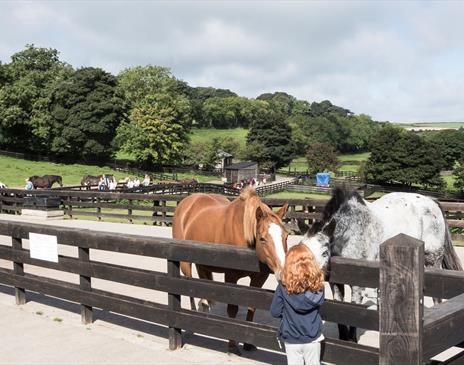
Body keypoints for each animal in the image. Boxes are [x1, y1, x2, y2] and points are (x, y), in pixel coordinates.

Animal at [172, 186, 288, 354]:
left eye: (286, 236)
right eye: (263, 238)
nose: (283, 272)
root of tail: (188, 201)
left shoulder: (259, 279)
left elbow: (252, 308)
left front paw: (248, 343)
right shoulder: (231, 277)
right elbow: (232, 309)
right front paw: (232, 345)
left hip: (202, 261)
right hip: (184, 262)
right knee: (189, 287)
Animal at [300, 186, 462, 342]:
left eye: (324, 252)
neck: (350, 231)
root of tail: (431, 201)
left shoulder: (357, 284)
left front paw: (352, 340)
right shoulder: (335, 282)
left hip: (433, 260)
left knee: (436, 297)